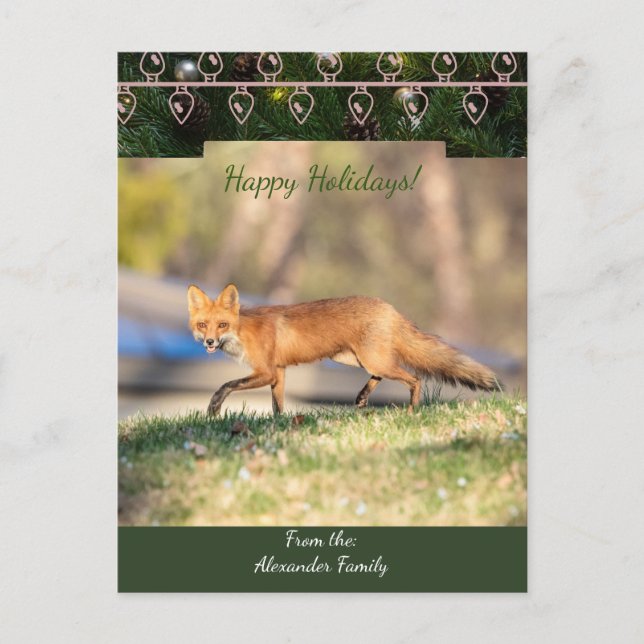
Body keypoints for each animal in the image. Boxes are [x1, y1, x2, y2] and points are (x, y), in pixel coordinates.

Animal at [187, 284, 501, 416]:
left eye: (222, 325)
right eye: (203, 325)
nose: (210, 343)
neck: (242, 331)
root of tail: (390, 308)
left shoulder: (265, 371)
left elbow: (227, 384)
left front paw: (214, 406)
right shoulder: (279, 373)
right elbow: (278, 407)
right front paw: (279, 427)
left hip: (371, 360)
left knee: (415, 378)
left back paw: (412, 410)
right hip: (355, 359)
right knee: (383, 376)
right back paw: (362, 397)